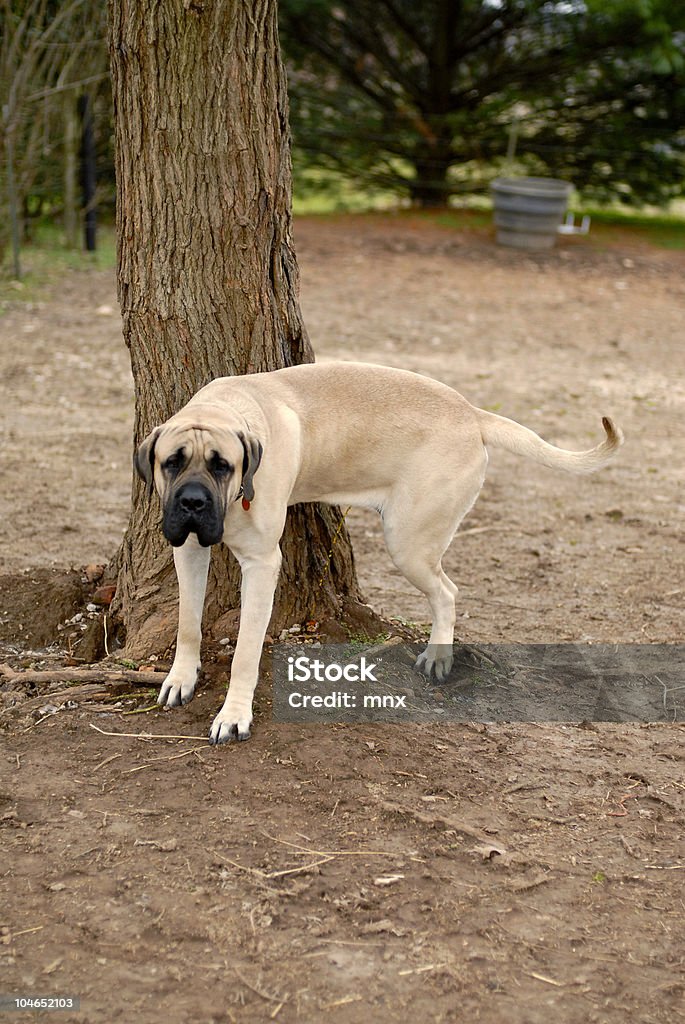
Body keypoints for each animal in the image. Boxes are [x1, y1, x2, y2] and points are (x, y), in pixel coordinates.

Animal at [133, 362, 618, 745]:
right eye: (172, 462)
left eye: (223, 466)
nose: (193, 502)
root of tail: (471, 413)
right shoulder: (188, 549)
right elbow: (188, 623)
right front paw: (181, 677)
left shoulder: (262, 565)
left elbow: (246, 653)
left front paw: (234, 714)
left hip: (408, 541)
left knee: (447, 592)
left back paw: (438, 656)